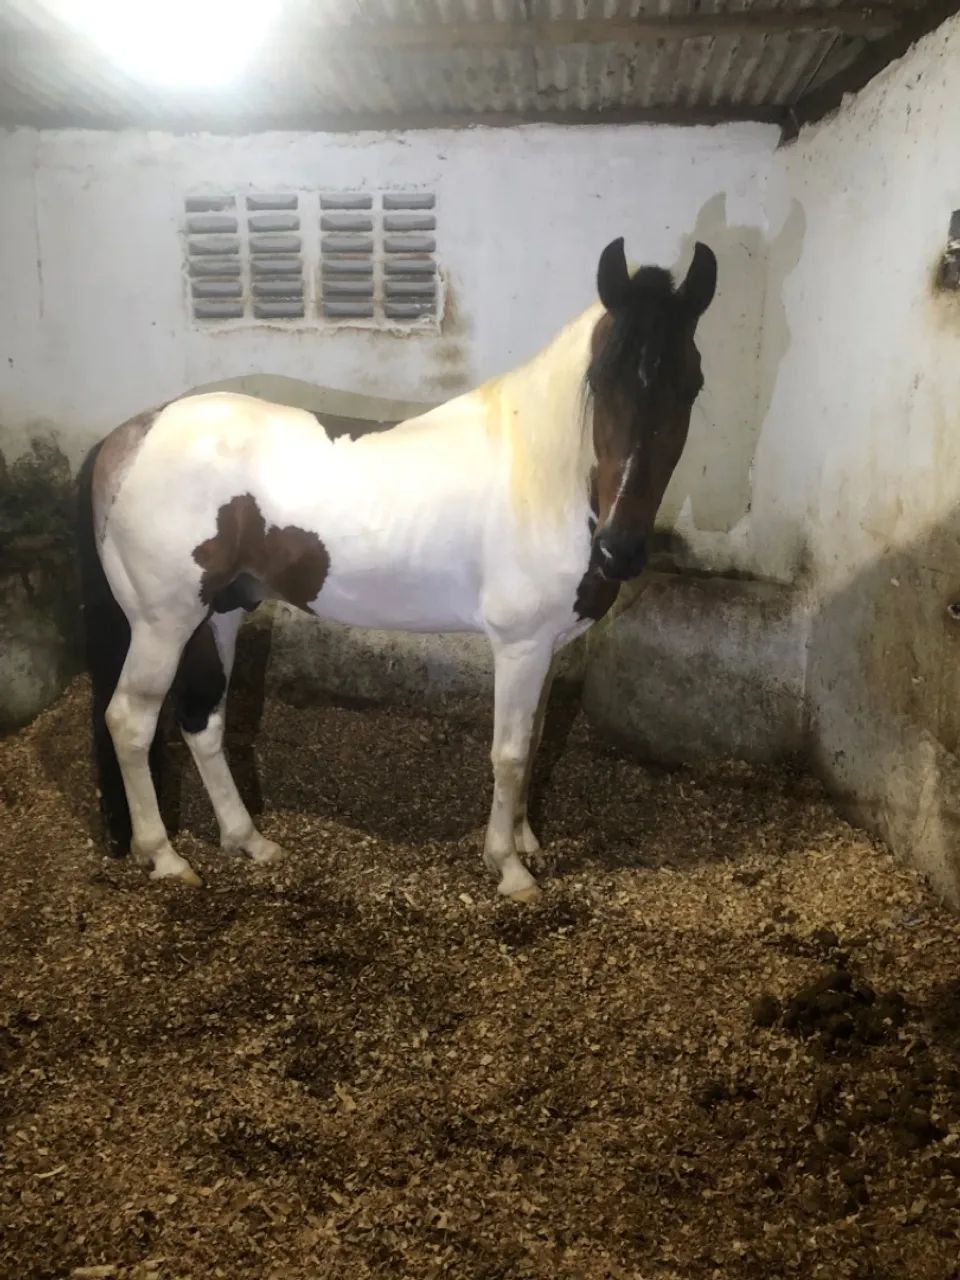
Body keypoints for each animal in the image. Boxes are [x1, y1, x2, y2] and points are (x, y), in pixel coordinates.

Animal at [76, 236, 717, 902]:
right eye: (600, 379)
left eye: (692, 383)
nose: (622, 549)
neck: (543, 475)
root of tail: (130, 438)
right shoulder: (519, 645)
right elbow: (511, 754)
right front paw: (509, 867)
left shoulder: (546, 648)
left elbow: (536, 739)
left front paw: (526, 841)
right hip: (163, 623)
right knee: (130, 721)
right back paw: (165, 856)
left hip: (219, 612)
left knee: (204, 721)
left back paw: (248, 840)